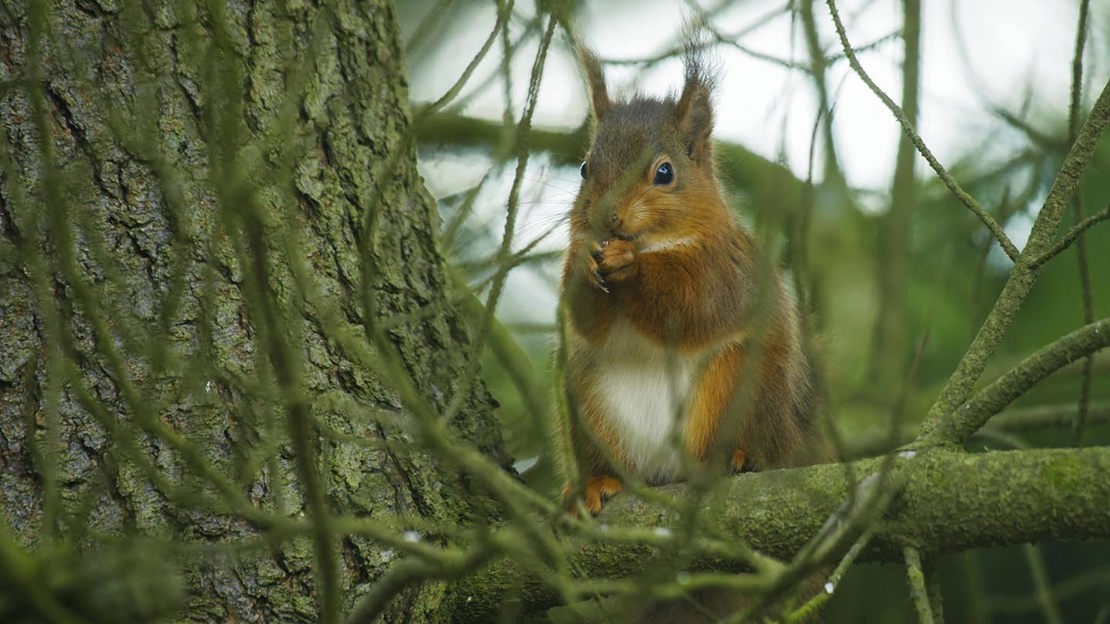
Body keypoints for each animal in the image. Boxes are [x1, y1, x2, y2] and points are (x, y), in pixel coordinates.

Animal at [559, 47, 822, 516]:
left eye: (665, 172)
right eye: (586, 167)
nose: (605, 218)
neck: (656, 244)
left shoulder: (727, 269)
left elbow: (693, 306)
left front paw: (631, 265)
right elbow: (590, 324)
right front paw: (581, 261)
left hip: (739, 385)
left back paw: (735, 458)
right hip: (588, 403)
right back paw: (597, 483)